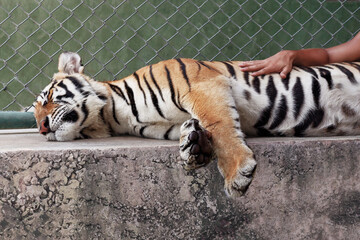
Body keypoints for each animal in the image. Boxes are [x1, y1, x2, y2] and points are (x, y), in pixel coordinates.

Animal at [34, 51, 360, 196]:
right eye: (34, 116)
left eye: (48, 97)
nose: (43, 128)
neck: (114, 116)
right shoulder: (163, 126)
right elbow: (193, 130)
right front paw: (194, 147)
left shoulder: (201, 86)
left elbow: (220, 127)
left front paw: (237, 174)